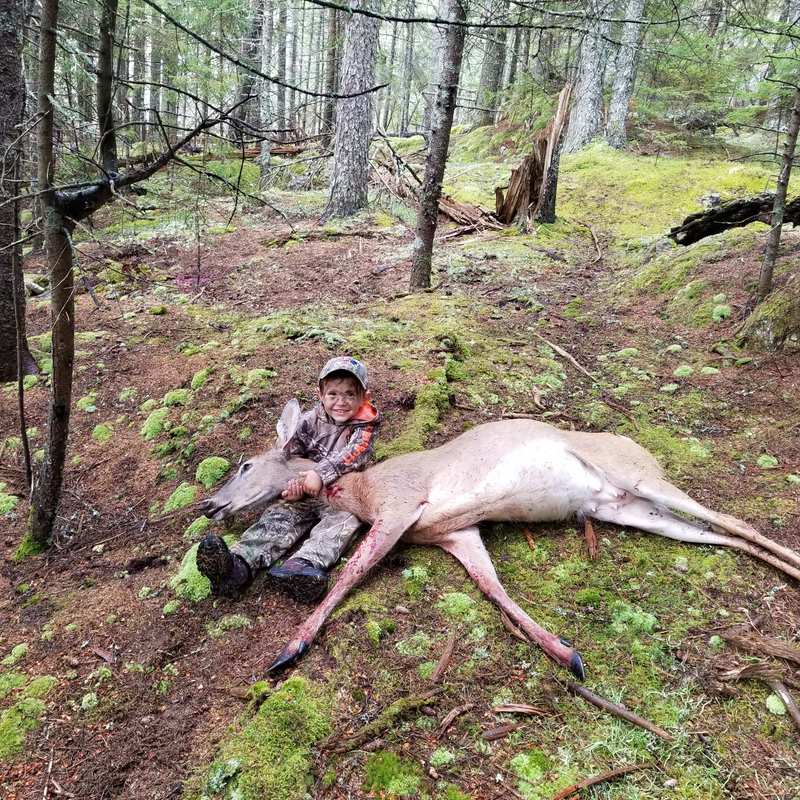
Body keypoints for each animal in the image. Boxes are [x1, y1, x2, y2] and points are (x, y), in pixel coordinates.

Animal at [198, 400, 800, 680]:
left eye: (245, 463)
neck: (364, 492)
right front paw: (567, 654)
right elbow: (492, 589)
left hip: (640, 477)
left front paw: (288, 649)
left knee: (737, 521)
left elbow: (350, 574)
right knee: (720, 536)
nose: (209, 505)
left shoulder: (401, 507)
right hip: (632, 510)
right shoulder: (456, 532)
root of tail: (637, 449)